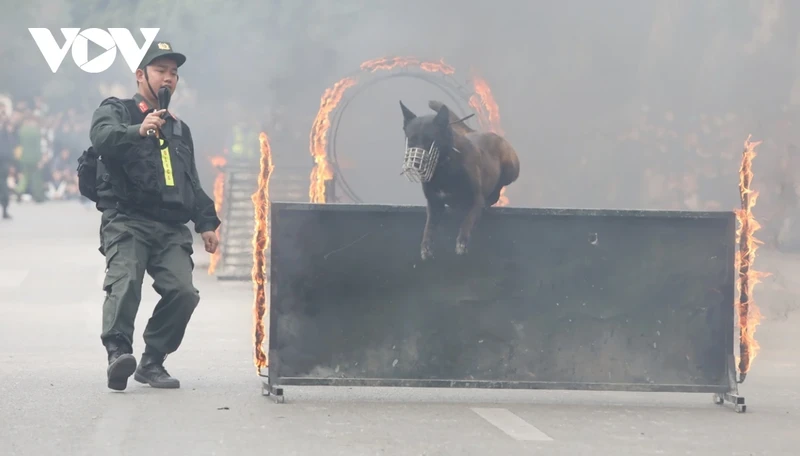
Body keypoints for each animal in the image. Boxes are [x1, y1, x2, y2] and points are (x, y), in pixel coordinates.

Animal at [398, 100, 520, 260]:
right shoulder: (434, 204)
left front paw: (462, 243)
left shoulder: (476, 200)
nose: (416, 164)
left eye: (430, 140)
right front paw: (426, 247)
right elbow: (429, 226)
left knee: (497, 191)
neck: (444, 168)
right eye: (411, 140)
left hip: (511, 169)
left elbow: (467, 221)